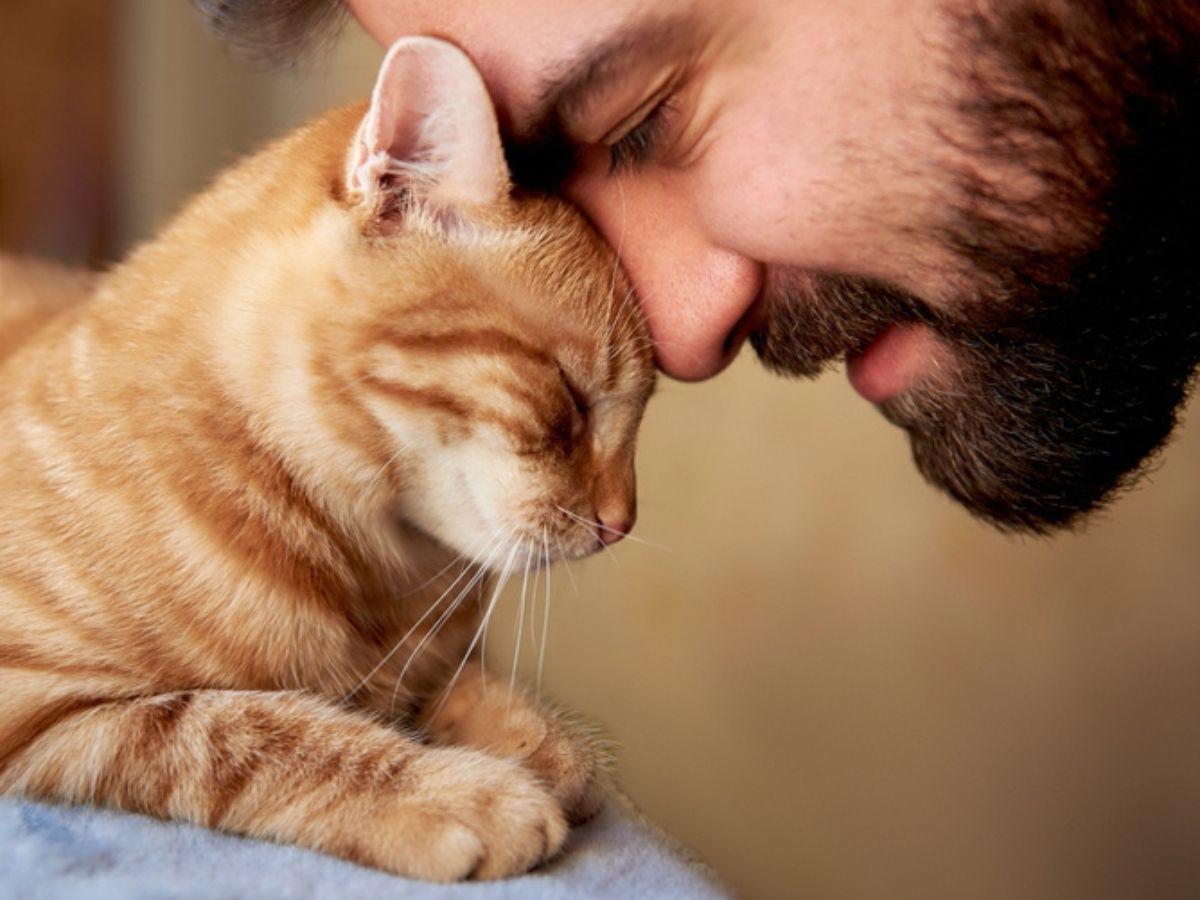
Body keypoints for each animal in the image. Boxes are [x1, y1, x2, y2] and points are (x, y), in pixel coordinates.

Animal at [0, 38, 652, 883]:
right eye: (570, 400)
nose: (622, 523)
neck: (380, 573)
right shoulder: (42, 701)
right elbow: (248, 729)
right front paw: (460, 792)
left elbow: (447, 685)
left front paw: (535, 738)